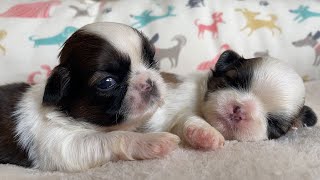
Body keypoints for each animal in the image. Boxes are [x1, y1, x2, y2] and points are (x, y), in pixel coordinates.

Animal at [0, 22, 181, 172]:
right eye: (107, 82)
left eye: (152, 62)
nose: (149, 81)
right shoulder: (65, 145)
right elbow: (112, 138)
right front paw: (153, 141)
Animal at [145, 50, 318, 149]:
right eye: (235, 82)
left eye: (273, 123)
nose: (239, 111)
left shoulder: (179, 121)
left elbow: (187, 122)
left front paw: (206, 136)